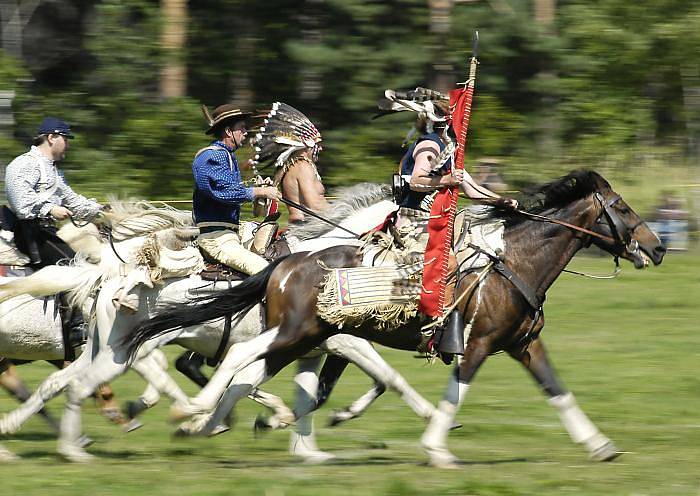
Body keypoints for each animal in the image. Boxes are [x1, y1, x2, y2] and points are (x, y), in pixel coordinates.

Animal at [133, 170, 668, 464]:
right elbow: (449, 391)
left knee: (244, 372)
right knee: (233, 357)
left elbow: (558, 391)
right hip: (295, 332)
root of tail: (284, 265)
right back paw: (191, 411)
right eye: (621, 208)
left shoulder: (523, 345)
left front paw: (599, 444)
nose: (658, 247)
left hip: (299, 338)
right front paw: (436, 447)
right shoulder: (476, 344)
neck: (514, 262)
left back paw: (206, 422)